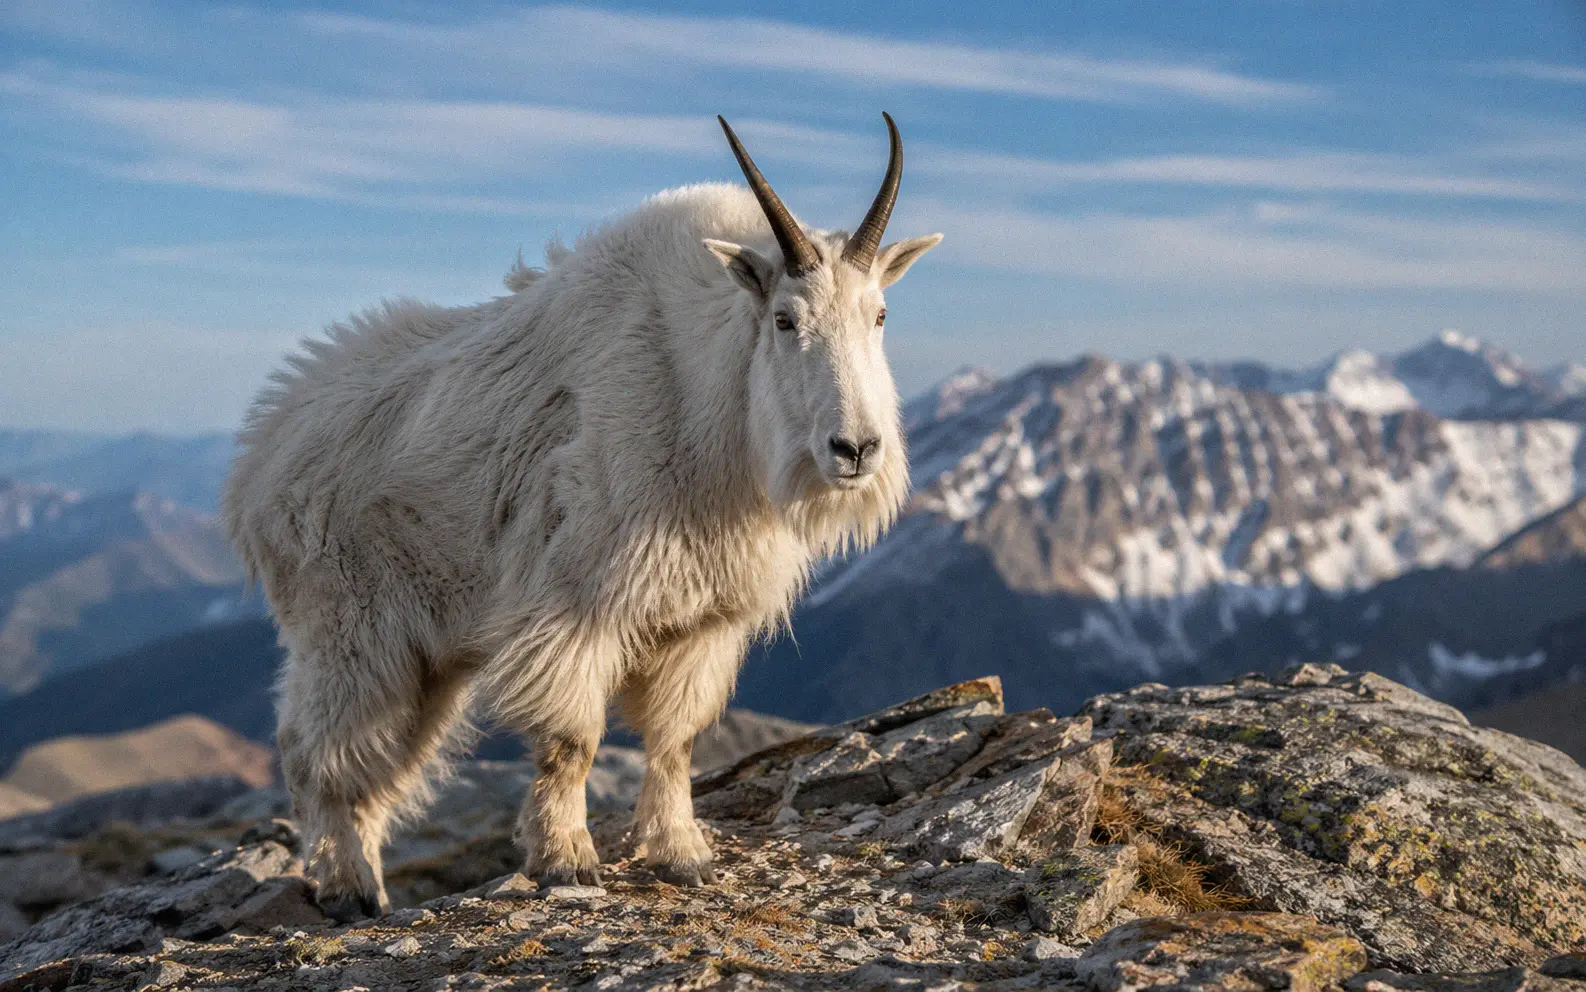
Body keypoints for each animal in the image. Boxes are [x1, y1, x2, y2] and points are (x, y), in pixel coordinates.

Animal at [223, 113, 941, 920]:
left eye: (879, 314)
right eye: (786, 320)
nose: (856, 449)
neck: (703, 390)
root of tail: (258, 463)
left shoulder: (702, 623)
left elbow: (675, 741)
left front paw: (683, 855)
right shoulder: (575, 607)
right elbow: (572, 741)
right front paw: (567, 861)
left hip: (427, 660)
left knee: (377, 766)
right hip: (349, 633)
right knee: (316, 751)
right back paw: (347, 886)